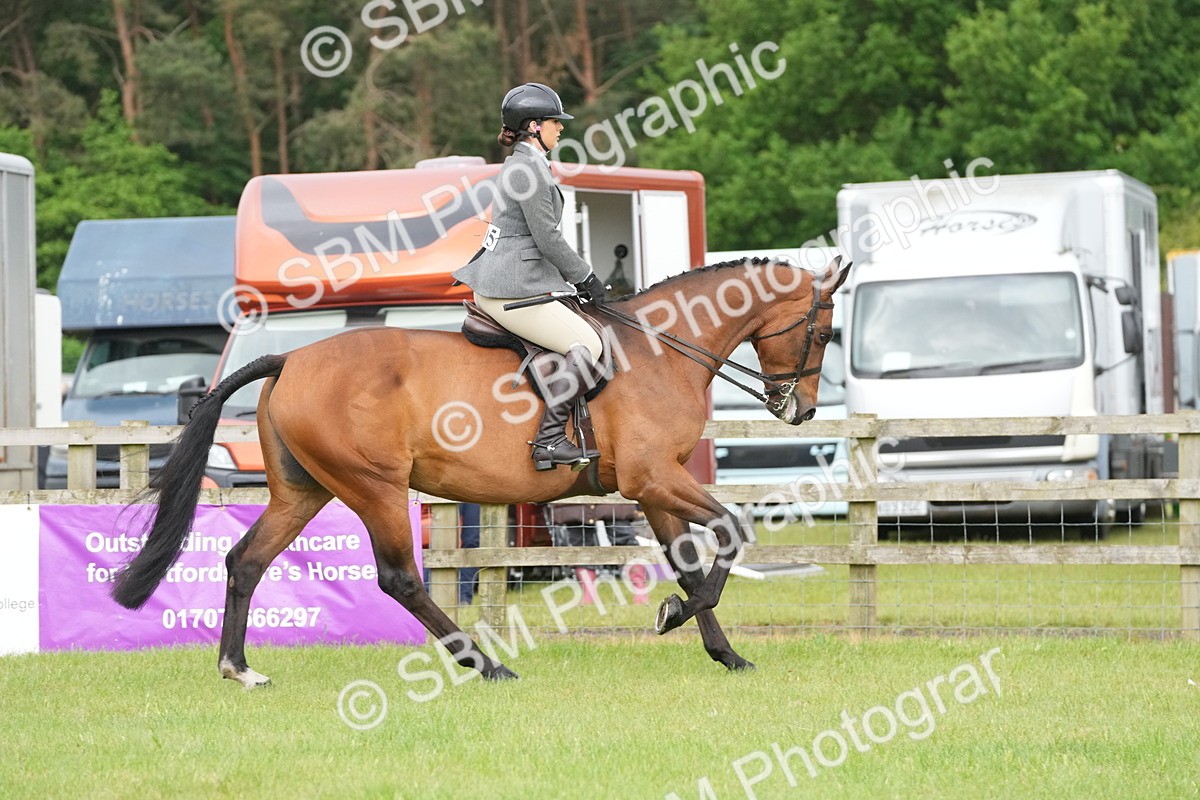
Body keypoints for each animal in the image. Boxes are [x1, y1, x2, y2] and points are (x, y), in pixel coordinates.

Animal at [111, 256, 851, 687]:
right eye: (821, 332)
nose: (801, 409)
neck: (660, 350)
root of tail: (291, 359)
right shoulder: (652, 479)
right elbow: (731, 530)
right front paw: (674, 616)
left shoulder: (653, 488)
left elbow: (694, 564)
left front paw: (724, 652)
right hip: (375, 487)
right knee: (400, 579)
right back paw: (485, 664)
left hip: (304, 491)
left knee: (245, 561)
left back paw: (238, 668)